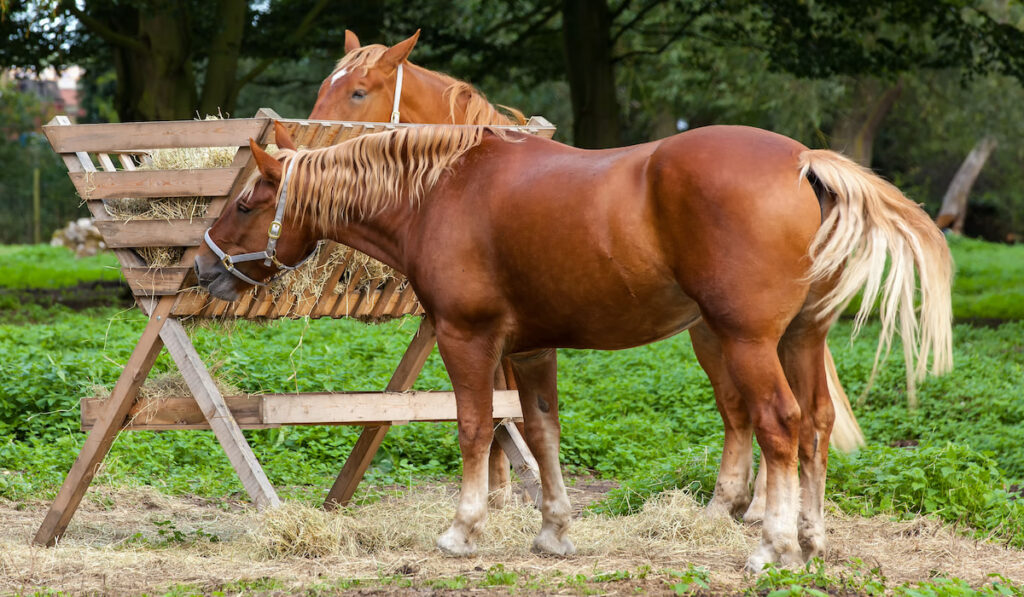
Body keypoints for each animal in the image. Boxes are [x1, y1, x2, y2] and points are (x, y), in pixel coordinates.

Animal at [193, 111, 950, 569]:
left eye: (243, 203)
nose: (201, 266)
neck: (442, 192)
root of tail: (802, 160)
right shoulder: (530, 347)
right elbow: (540, 429)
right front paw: (554, 529)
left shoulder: (467, 338)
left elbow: (474, 428)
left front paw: (464, 528)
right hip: (801, 339)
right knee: (816, 423)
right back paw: (812, 538)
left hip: (746, 343)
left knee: (779, 425)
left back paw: (774, 544)